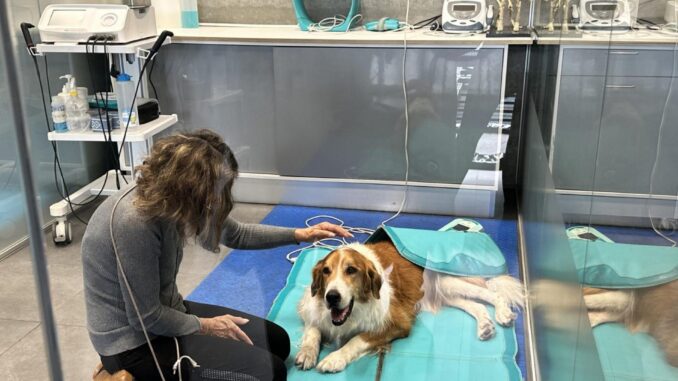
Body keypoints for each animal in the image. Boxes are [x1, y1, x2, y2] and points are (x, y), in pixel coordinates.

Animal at [296, 240, 524, 372]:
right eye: (326, 271)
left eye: (351, 270)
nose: (331, 297)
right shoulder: (313, 310)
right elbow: (313, 329)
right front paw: (307, 352)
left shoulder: (396, 323)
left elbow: (357, 339)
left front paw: (335, 358)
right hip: (442, 291)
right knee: (475, 305)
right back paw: (485, 326)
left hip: (447, 281)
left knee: (491, 293)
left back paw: (503, 313)